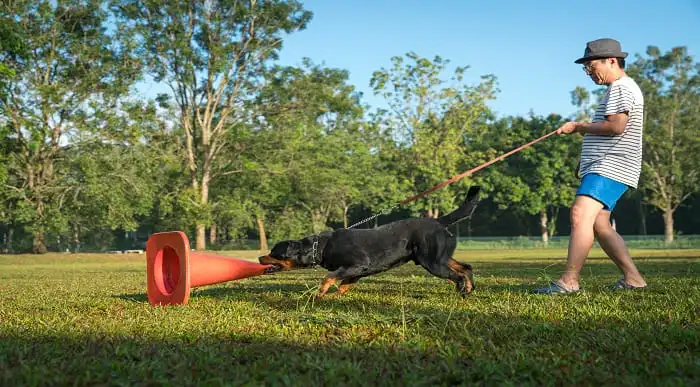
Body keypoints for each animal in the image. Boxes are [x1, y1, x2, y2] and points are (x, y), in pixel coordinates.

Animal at [260, 186, 484, 298]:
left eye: (273, 252)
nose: (260, 257)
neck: (320, 248)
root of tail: (438, 221)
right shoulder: (357, 272)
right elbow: (343, 285)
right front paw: (332, 296)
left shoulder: (358, 265)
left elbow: (329, 276)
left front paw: (321, 292)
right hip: (440, 258)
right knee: (466, 267)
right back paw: (469, 287)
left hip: (432, 262)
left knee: (457, 275)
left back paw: (462, 292)